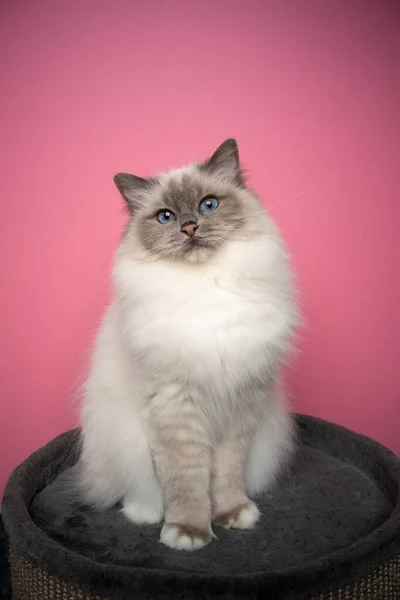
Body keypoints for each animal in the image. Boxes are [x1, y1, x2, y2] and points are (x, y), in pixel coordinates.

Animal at [79, 138, 296, 552]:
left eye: (208, 205)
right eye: (165, 217)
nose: (189, 226)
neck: (205, 285)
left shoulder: (241, 404)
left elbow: (226, 474)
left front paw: (231, 514)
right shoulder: (176, 406)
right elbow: (186, 480)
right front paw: (188, 532)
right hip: (123, 439)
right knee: (139, 490)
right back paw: (145, 514)